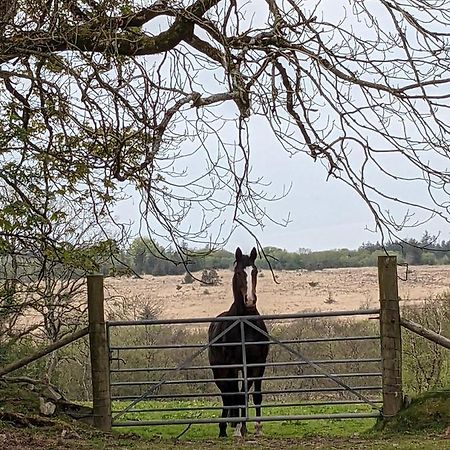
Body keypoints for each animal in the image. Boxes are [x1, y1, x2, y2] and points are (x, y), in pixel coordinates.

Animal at [207, 248, 268, 438]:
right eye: (239, 272)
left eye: (254, 271)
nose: (250, 300)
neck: (245, 326)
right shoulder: (233, 365)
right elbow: (236, 395)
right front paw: (237, 430)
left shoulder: (258, 364)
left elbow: (254, 395)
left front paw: (257, 427)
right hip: (220, 371)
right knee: (227, 395)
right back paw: (226, 428)